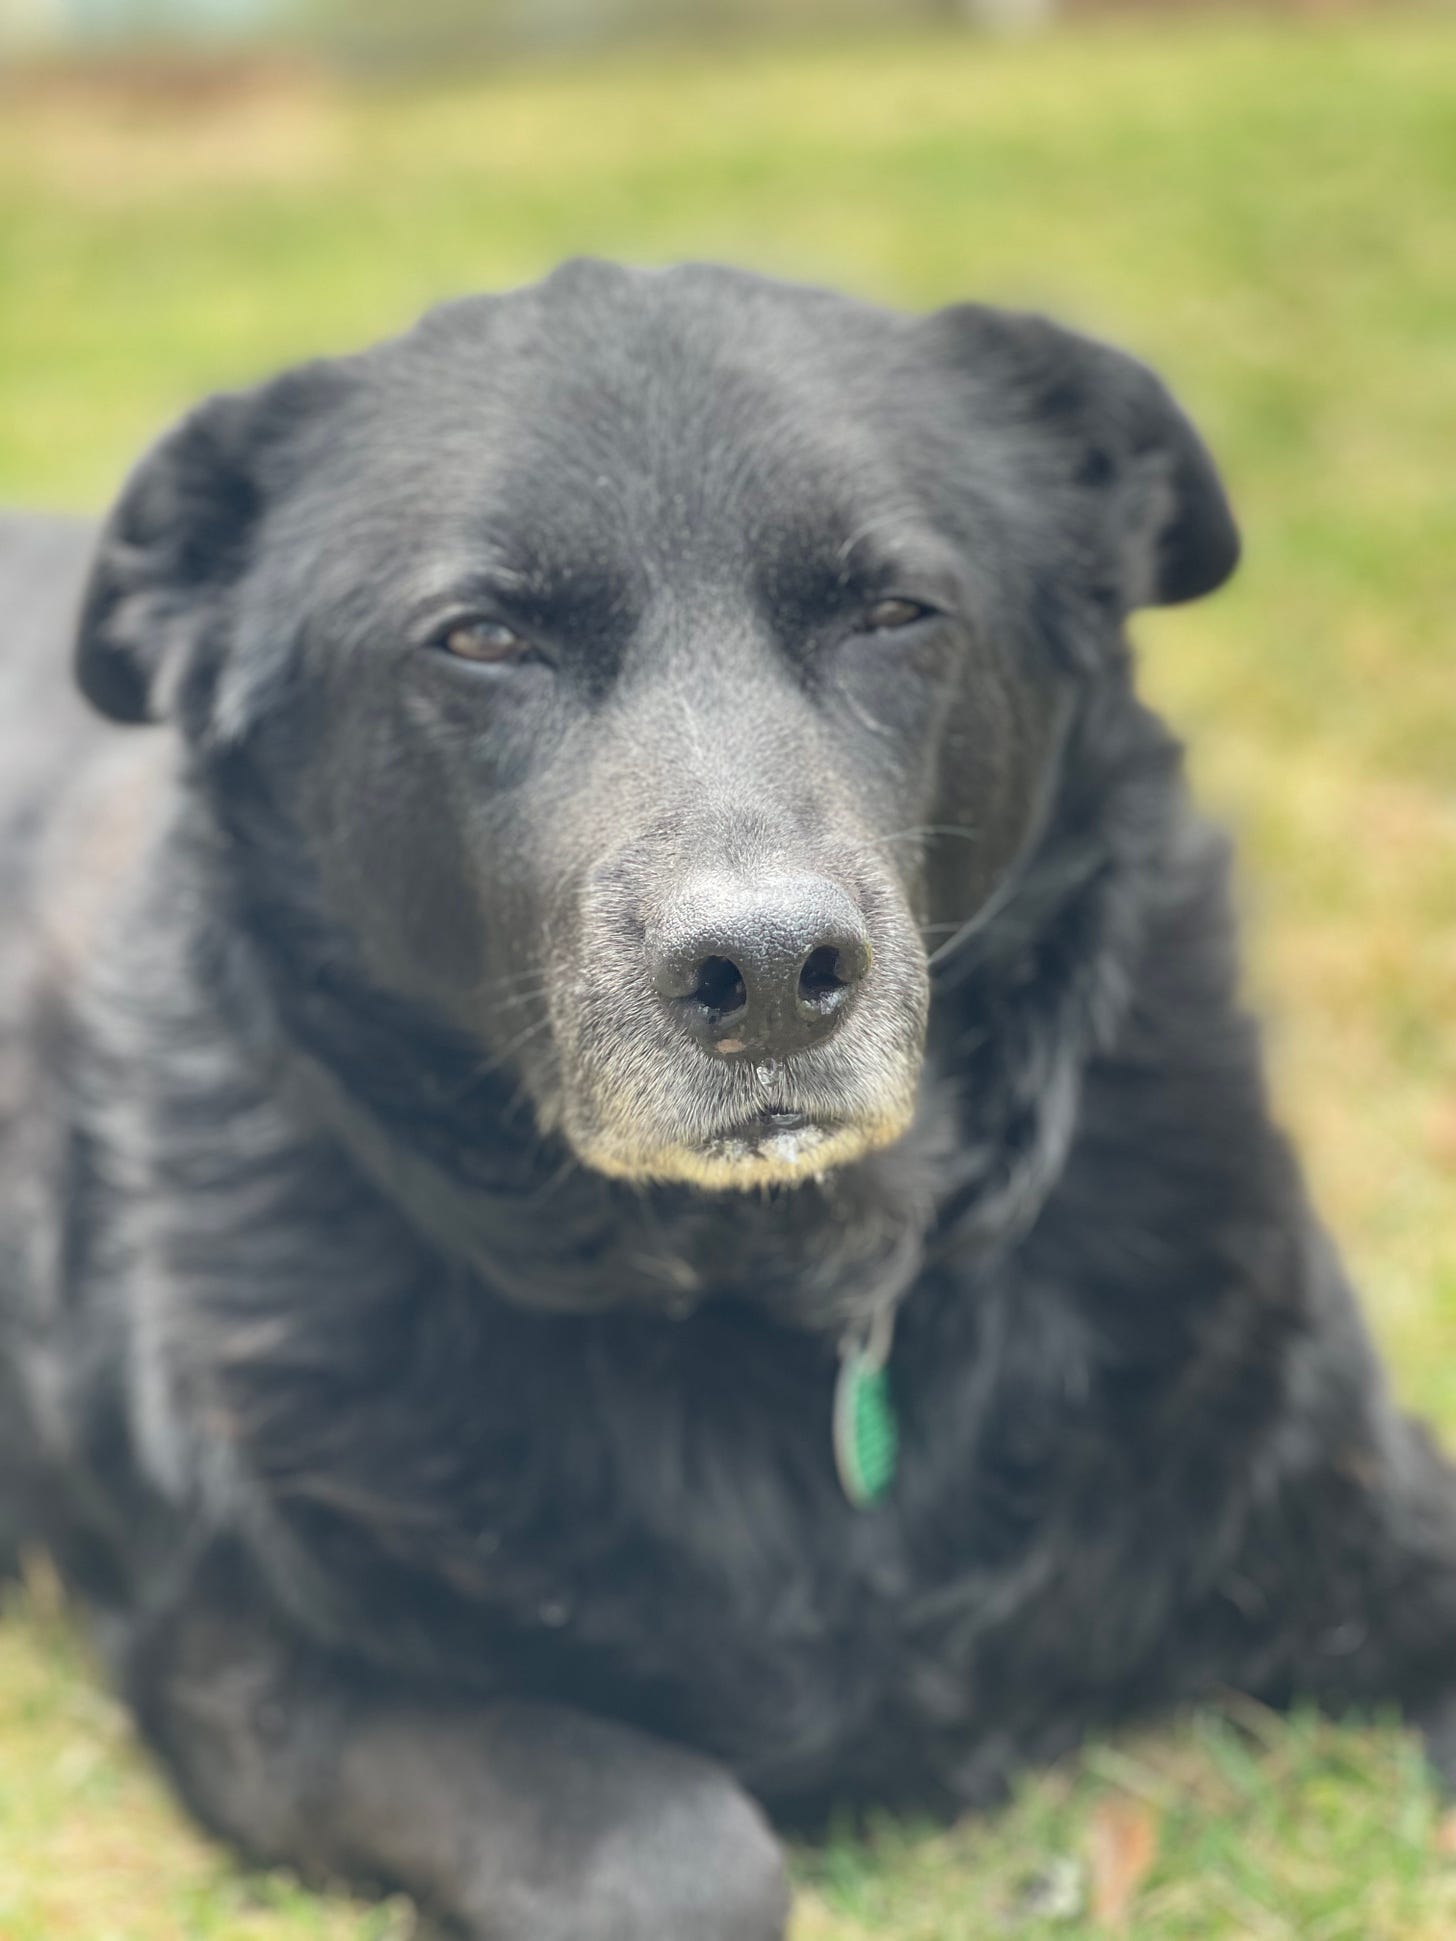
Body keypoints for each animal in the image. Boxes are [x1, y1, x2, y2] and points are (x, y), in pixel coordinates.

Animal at [2, 258, 1456, 1941]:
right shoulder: (252, 1671)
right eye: (481, 636)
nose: (765, 973)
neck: (766, 1293)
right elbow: (675, 1848)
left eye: (895, 611)